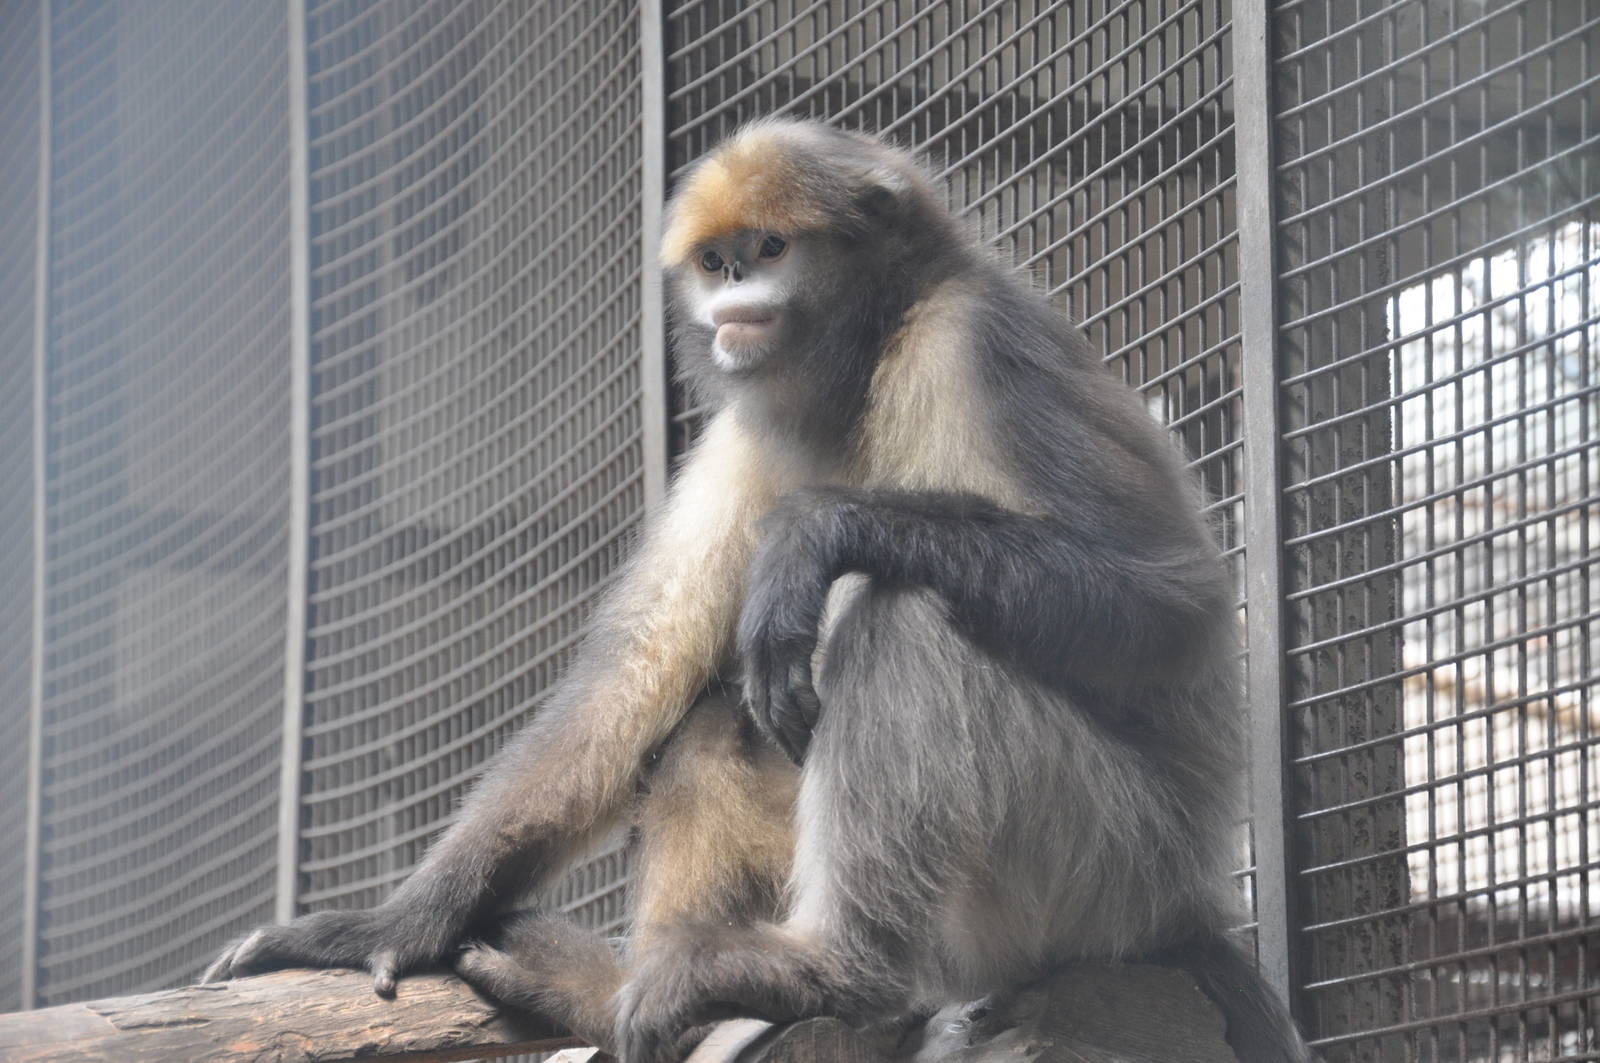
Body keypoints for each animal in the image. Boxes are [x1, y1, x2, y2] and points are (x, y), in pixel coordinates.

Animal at [203, 118, 1308, 1063]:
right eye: (715, 262)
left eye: (771, 248)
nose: (734, 291)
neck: (866, 357)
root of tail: (1187, 902)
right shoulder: (754, 421)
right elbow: (637, 678)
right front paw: (394, 921)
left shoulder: (973, 339)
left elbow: (1172, 607)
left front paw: (813, 534)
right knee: (713, 719)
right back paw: (625, 993)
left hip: (1104, 867)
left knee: (903, 618)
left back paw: (829, 969)